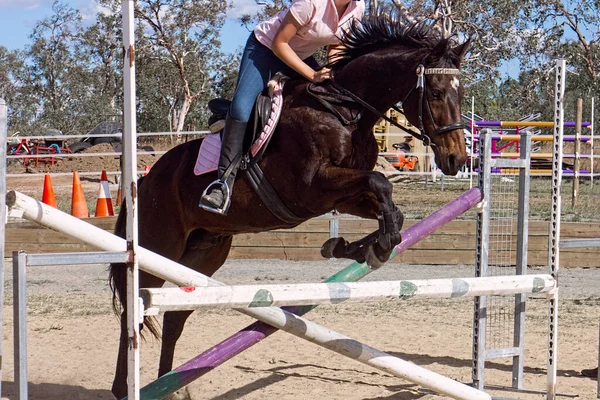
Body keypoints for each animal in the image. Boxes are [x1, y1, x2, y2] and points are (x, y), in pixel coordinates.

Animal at [110, 11, 472, 396]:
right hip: (159, 246)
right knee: (133, 312)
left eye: (462, 93)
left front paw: (358, 247)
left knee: (176, 315)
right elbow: (381, 182)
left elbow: (390, 206)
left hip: (204, 253)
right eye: (436, 93)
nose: (456, 160)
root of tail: (143, 182)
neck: (346, 112)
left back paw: (173, 386)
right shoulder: (310, 189)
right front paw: (372, 245)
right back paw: (123, 387)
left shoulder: (340, 194)